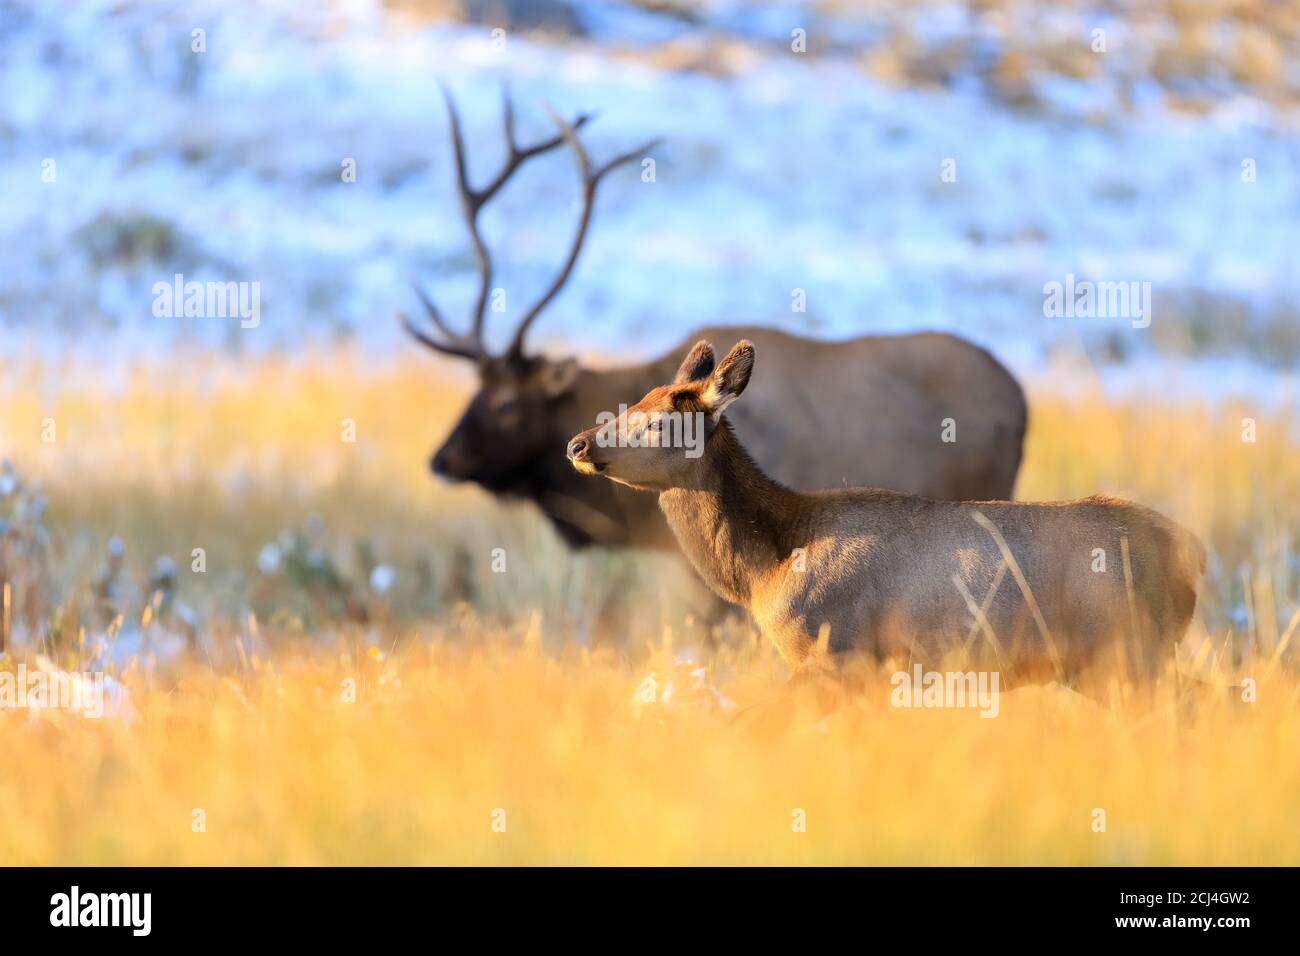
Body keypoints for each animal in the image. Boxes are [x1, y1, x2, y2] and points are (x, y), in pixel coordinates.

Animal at [565, 339, 1207, 694]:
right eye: (635, 400)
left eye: (658, 421)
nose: (577, 443)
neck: (768, 569)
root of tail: (1193, 554)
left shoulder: (837, 655)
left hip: (1128, 652)